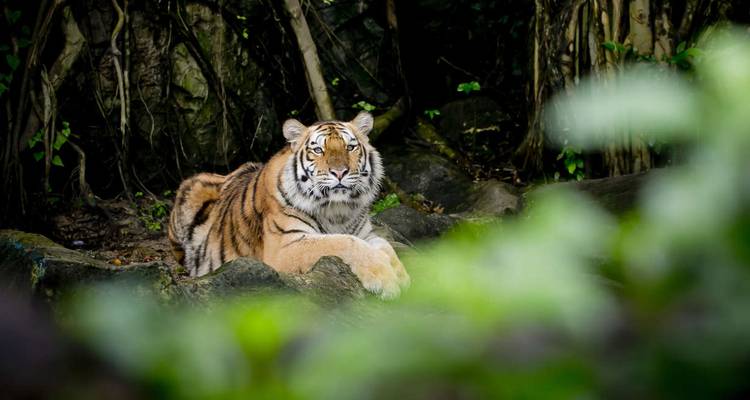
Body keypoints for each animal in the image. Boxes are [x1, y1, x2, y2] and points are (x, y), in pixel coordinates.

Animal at [168, 112, 410, 299]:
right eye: (318, 150)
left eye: (350, 147)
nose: (340, 172)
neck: (337, 210)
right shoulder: (286, 246)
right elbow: (344, 242)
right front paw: (384, 278)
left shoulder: (365, 234)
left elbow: (384, 244)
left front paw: (402, 276)